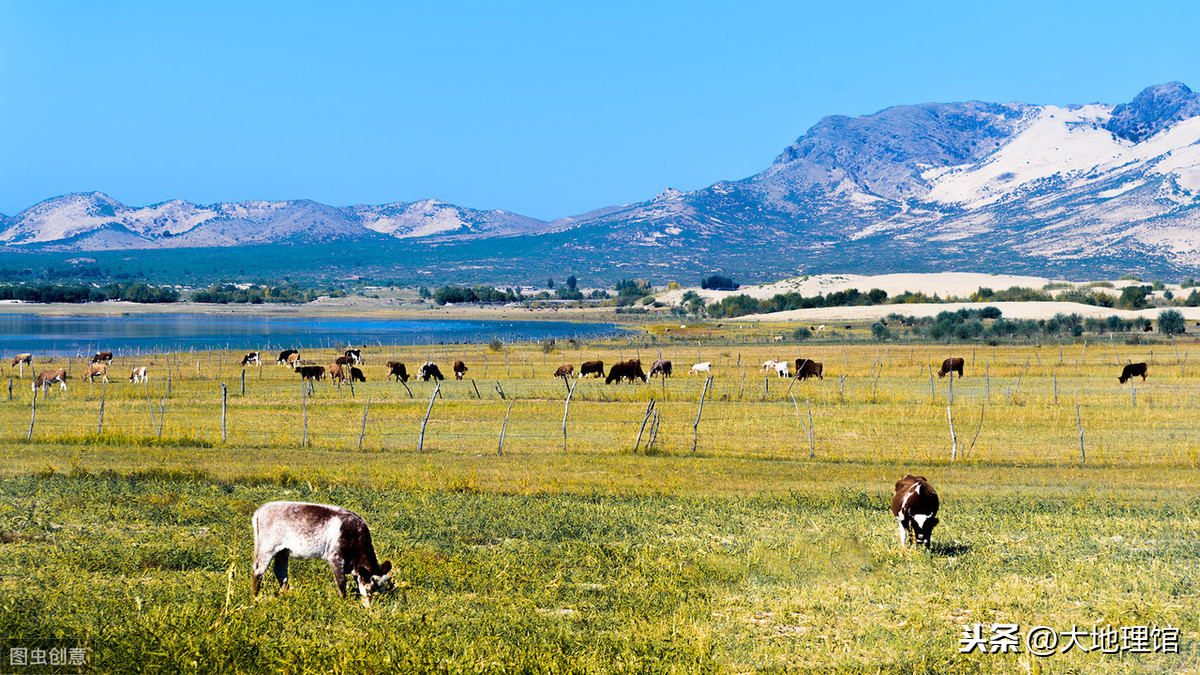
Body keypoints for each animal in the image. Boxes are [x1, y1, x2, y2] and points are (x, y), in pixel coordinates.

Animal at [252, 499, 393, 605]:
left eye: (384, 589)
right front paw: (344, 602)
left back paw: (286, 594)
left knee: (281, 573)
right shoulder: (336, 557)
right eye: (371, 589)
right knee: (258, 571)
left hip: (282, 551)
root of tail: (262, 509)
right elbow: (341, 583)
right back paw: (255, 598)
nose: (375, 608)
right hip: (267, 547)